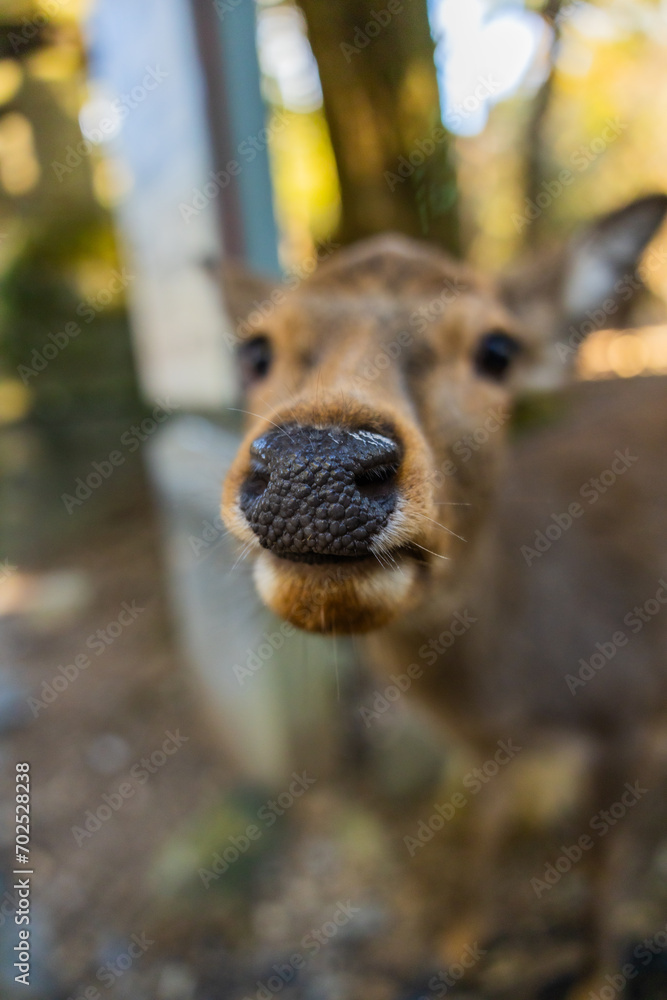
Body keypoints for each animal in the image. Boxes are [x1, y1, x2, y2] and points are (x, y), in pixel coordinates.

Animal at [221, 194, 667, 999]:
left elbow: (597, 862)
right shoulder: (485, 747)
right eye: (254, 351)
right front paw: (461, 942)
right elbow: (482, 826)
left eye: (497, 349)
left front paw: (595, 978)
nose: (315, 465)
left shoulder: (628, 712)